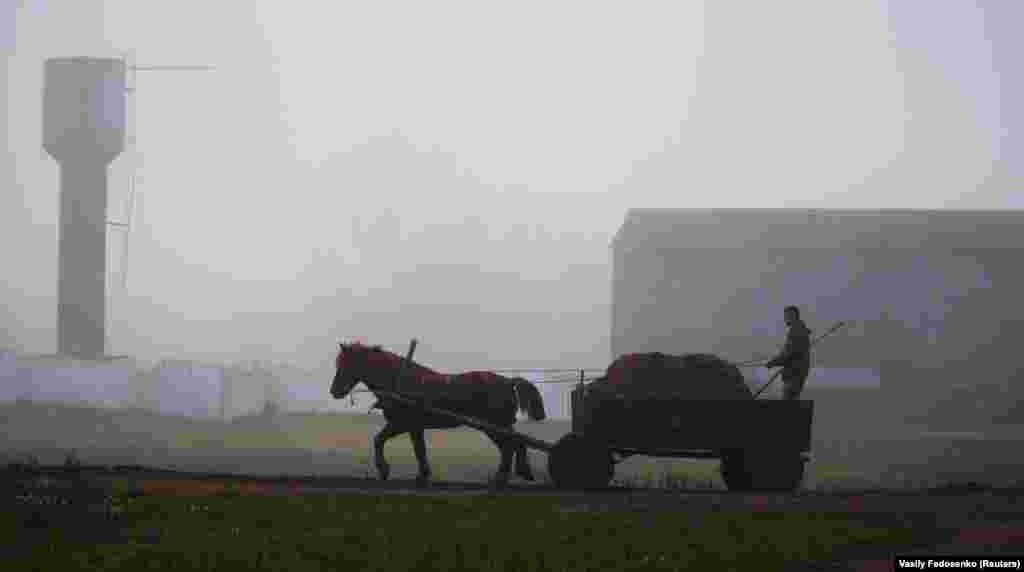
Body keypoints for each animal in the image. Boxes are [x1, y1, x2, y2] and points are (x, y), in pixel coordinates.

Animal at [331, 341, 548, 491]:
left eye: (347, 364)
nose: (334, 392)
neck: (398, 380)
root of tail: (508, 381)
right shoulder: (410, 426)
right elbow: (410, 448)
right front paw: (420, 476)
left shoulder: (404, 424)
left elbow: (388, 442)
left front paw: (388, 470)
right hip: (497, 426)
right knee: (515, 444)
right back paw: (518, 473)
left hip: (493, 426)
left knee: (509, 446)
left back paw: (501, 480)